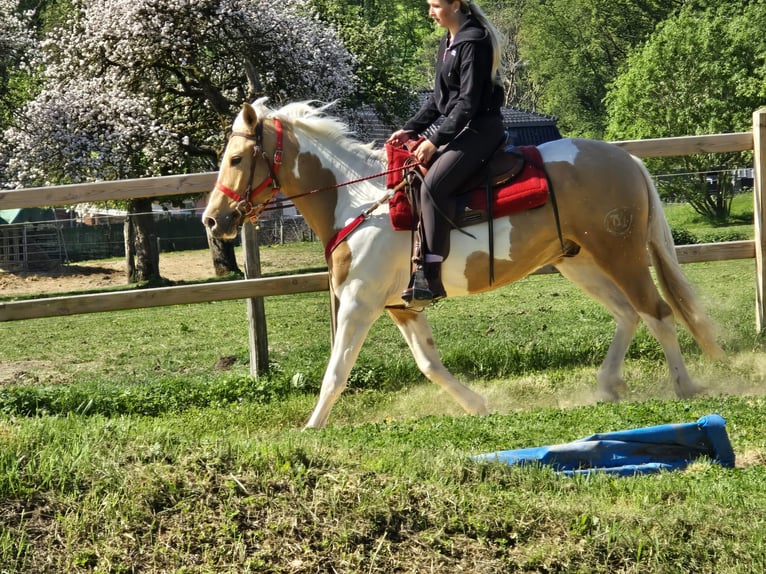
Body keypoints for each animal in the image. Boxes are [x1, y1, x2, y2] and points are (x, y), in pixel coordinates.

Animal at [202, 99, 724, 429]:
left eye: (237, 157)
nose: (213, 219)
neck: (360, 200)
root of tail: (626, 160)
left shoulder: (358, 303)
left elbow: (336, 372)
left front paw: (311, 427)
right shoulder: (401, 307)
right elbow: (430, 364)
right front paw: (479, 404)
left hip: (622, 255)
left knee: (657, 312)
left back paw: (684, 387)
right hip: (581, 263)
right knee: (628, 314)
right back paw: (607, 385)